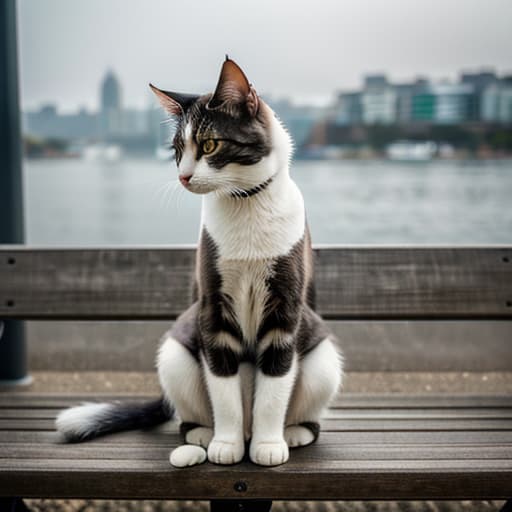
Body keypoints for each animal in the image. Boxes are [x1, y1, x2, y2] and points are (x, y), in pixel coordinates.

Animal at [55, 57, 344, 468]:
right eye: (177, 149)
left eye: (209, 144)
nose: (183, 176)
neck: (244, 203)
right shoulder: (212, 307)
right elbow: (222, 387)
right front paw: (226, 444)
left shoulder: (285, 309)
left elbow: (274, 387)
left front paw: (268, 445)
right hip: (175, 355)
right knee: (190, 409)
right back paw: (204, 436)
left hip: (323, 361)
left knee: (306, 401)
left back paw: (293, 432)